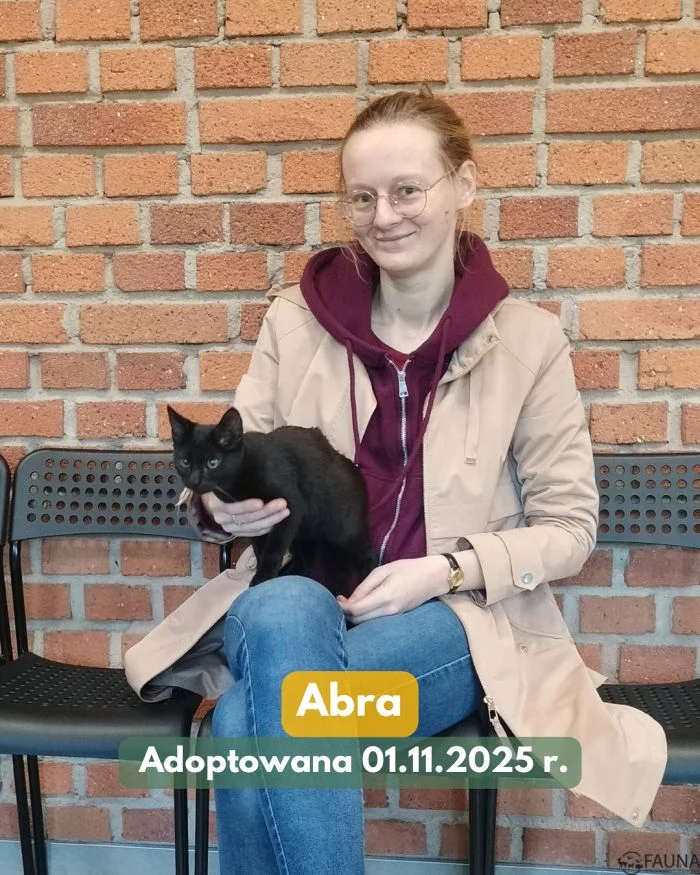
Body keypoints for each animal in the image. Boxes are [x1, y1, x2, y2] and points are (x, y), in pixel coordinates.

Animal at [167, 405, 377, 596]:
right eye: (185, 462)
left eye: (213, 463)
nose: (194, 481)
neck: (237, 483)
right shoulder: (255, 525)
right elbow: (260, 550)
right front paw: (266, 577)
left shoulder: (291, 507)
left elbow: (273, 548)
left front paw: (263, 576)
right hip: (303, 535)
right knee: (305, 561)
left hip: (342, 531)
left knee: (370, 553)